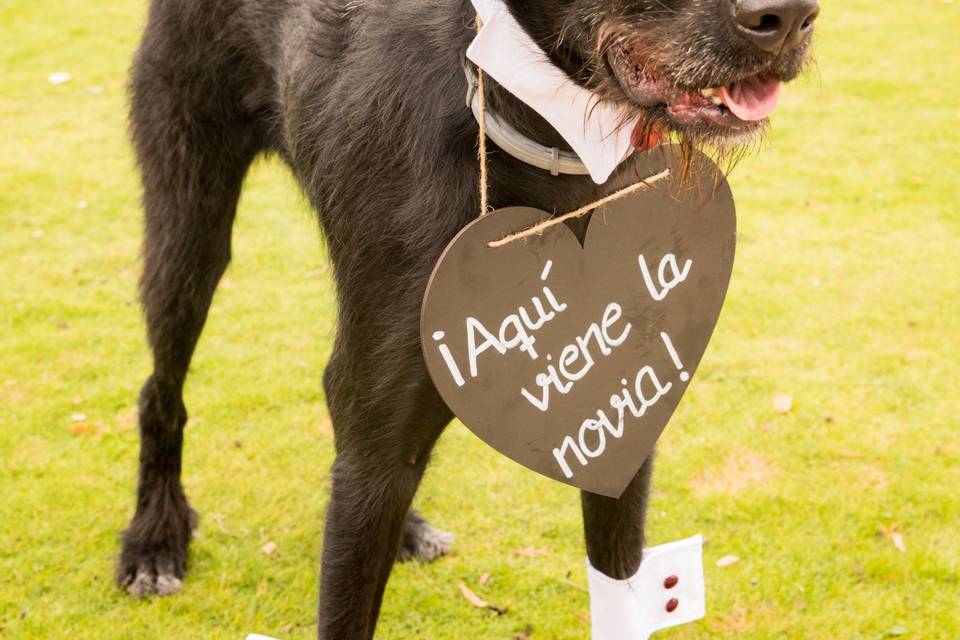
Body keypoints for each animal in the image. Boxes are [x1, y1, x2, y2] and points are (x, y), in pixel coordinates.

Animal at [116, 1, 812, 636]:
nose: (790, 18)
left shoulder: (626, 413)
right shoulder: (380, 432)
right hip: (189, 229)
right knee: (160, 390)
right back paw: (154, 540)